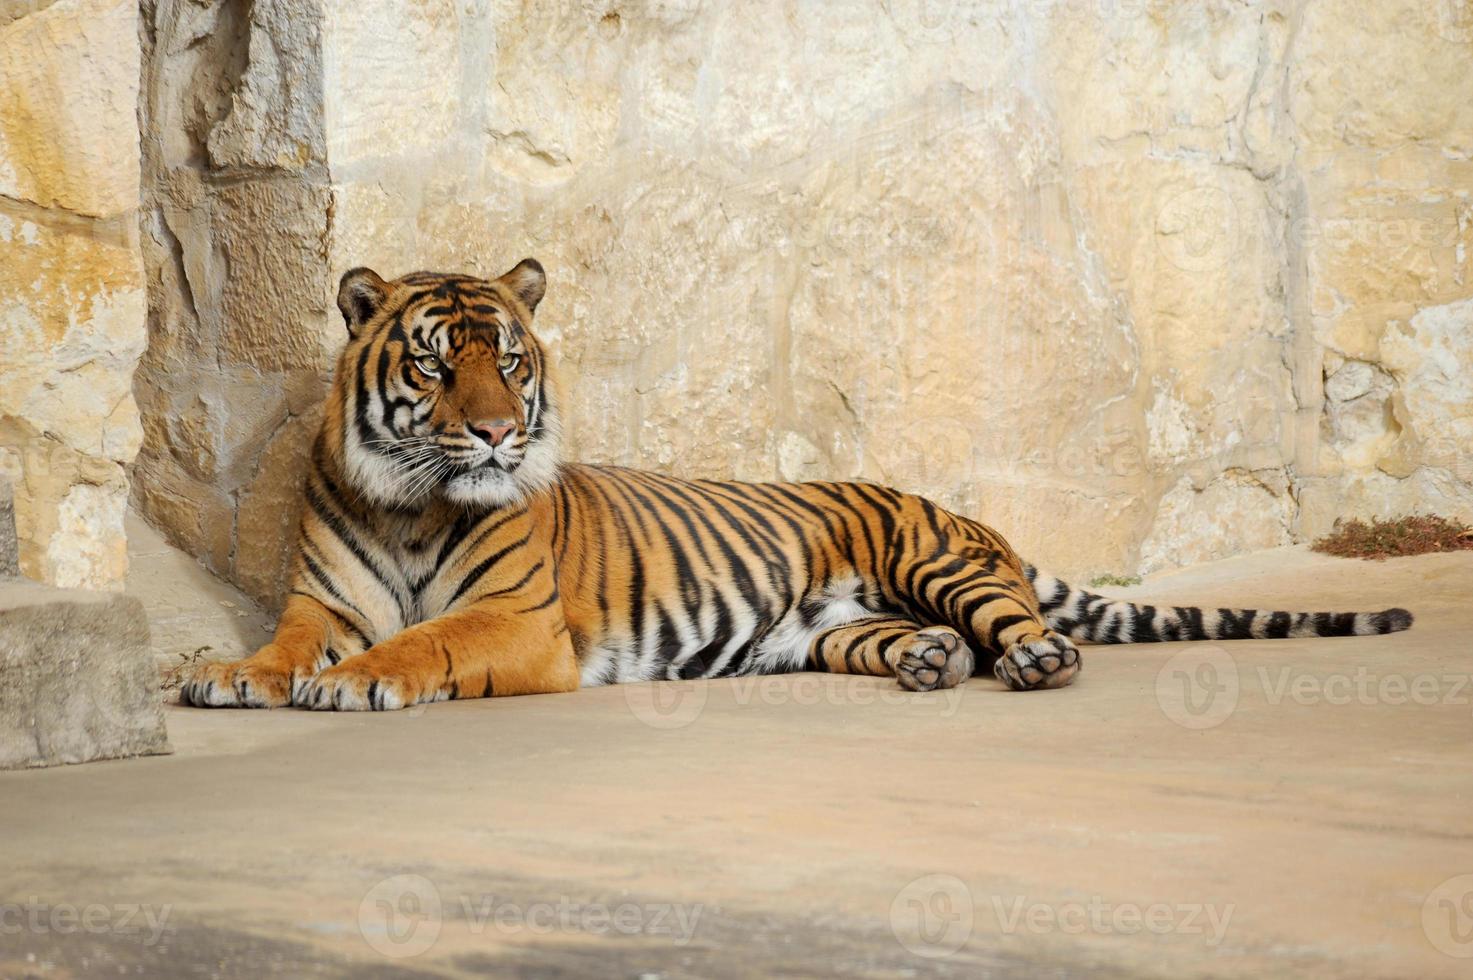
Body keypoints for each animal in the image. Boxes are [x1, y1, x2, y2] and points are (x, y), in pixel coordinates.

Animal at [181, 259, 1414, 710]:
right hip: (835, 623)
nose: (492, 432)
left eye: (514, 361)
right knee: (914, 642)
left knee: (1022, 626)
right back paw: (926, 663)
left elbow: (423, 642)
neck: (409, 497)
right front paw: (230, 673)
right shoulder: (324, 600)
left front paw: (350, 687)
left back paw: (1032, 661)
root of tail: (962, 511)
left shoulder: (517, 621)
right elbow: (290, 642)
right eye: (437, 362)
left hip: (940, 561)